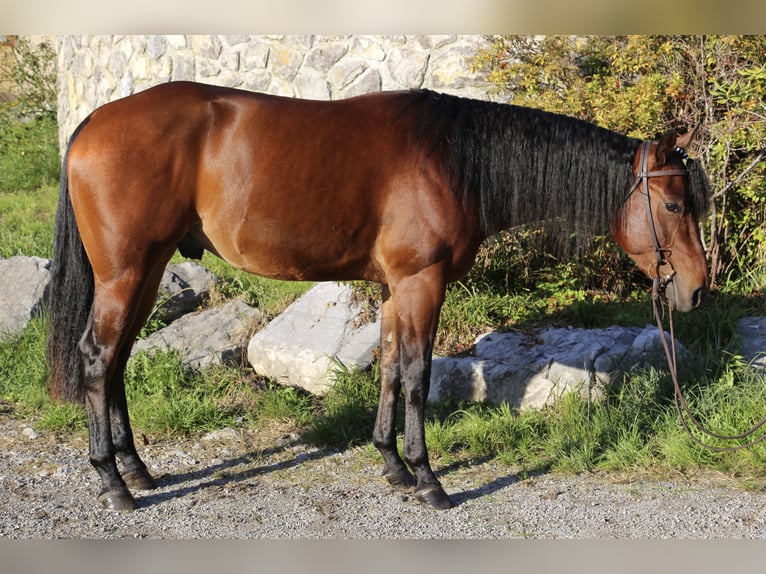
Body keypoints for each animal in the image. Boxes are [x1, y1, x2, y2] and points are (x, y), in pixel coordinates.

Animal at [46, 81, 711, 511]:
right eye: (674, 205)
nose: (699, 289)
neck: (455, 159)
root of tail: (93, 124)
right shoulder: (422, 282)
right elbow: (417, 375)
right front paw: (429, 480)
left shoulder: (397, 289)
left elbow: (390, 369)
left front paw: (393, 466)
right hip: (126, 273)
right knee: (98, 358)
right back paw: (114, 484)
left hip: (147, 271)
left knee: (116, 362)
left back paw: (138, 470)